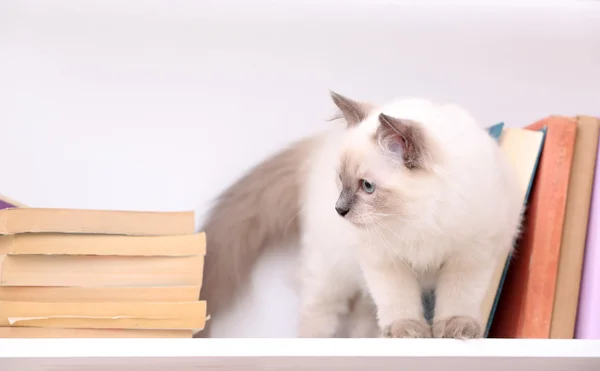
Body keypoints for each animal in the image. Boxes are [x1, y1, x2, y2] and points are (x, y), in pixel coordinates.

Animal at [199, 91, 524, 338]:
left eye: (367, 186)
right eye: (341, 180)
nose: (339, 210)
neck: (419, 221)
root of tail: (319, 144)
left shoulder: (469, 256)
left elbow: (458, 298)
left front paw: (455, 329)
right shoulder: (385, 261)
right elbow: (399, 302)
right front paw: (407, 332)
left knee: (363, 313)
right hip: (328, 274)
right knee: (318, 314)